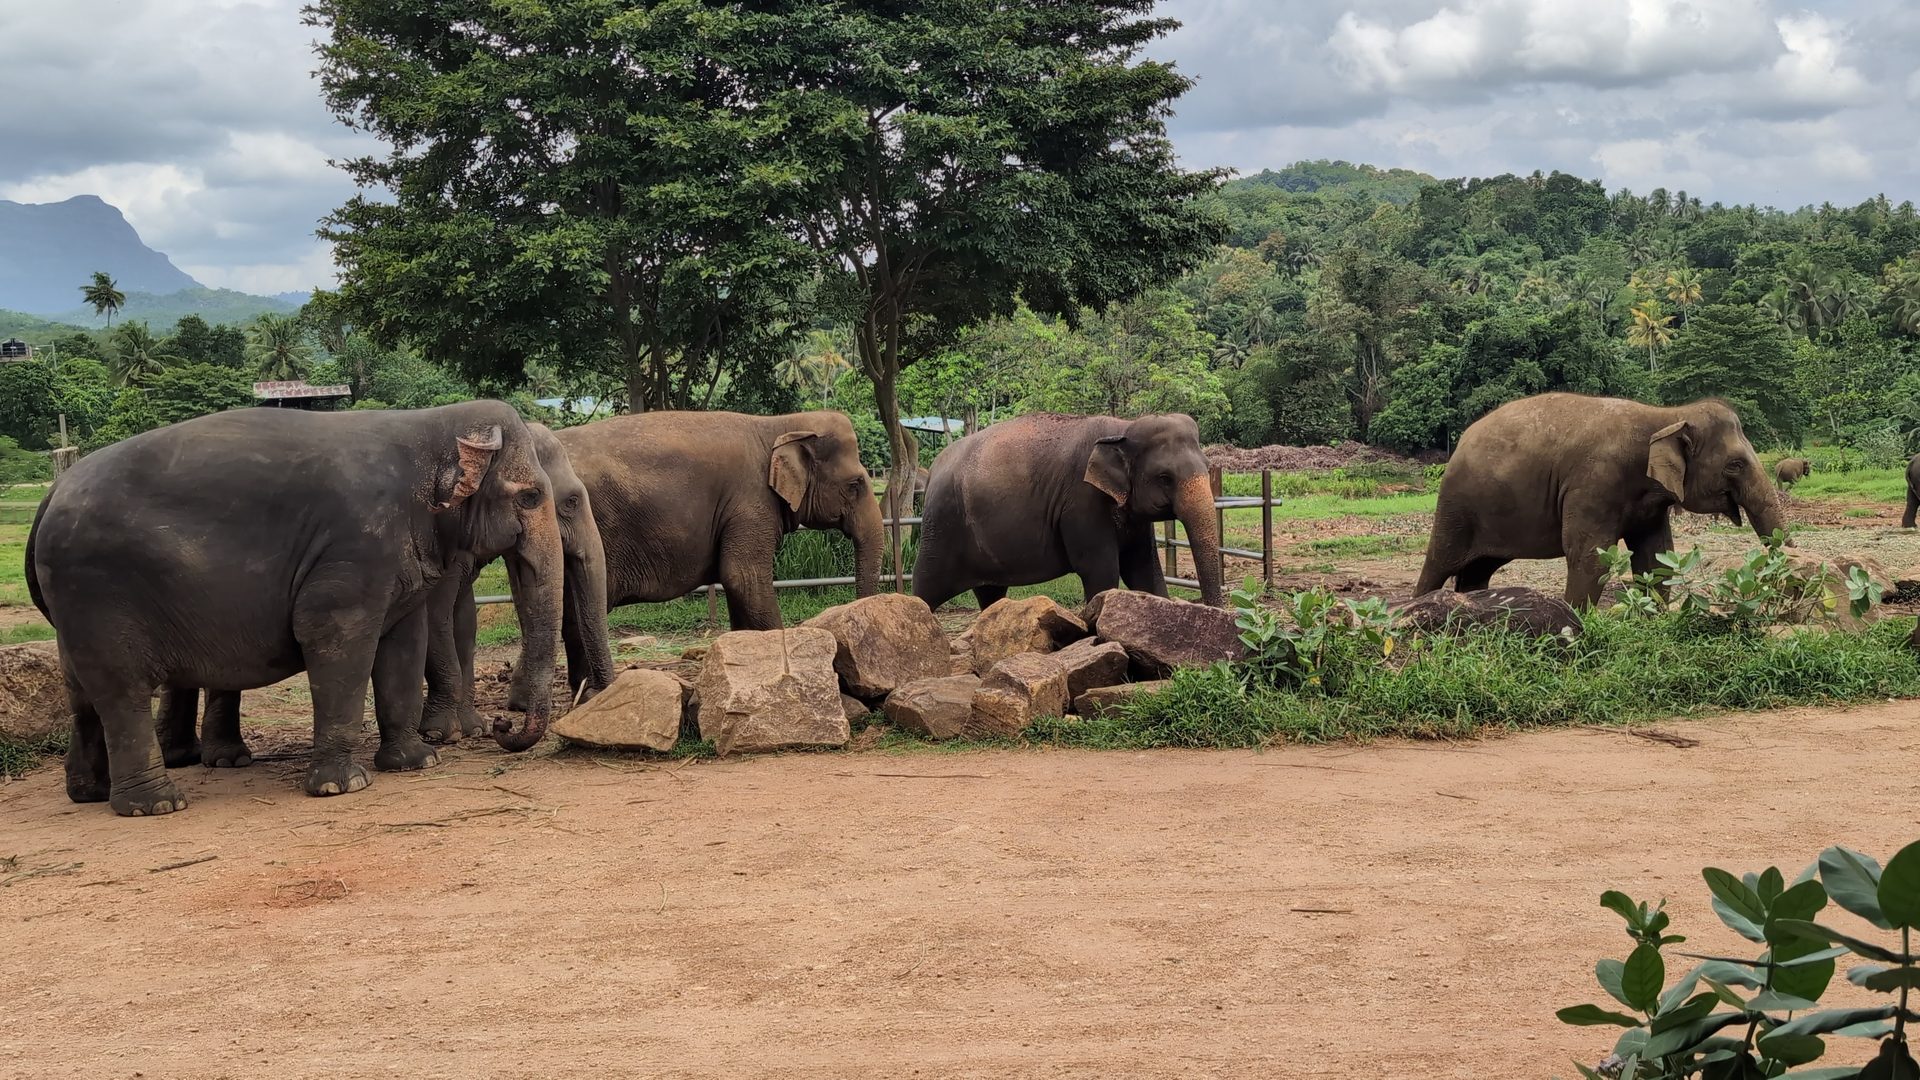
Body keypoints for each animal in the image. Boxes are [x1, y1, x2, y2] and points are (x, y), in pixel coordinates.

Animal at [25, 401, 564, 816]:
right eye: (531, 495)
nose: (503, 725)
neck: (428, 424)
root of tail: (50, 495)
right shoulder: (355, 547)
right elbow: (335, 637)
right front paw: (342, 785)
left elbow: (403, 645)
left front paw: (415, 762)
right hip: (97, 590)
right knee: (122, 690)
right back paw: (156, 805)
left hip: (74, 606)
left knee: (81, 691)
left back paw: (89, 793)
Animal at [911, 412, 1224, 611]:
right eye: (1164, 478)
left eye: (1209, 467)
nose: (1215, 611)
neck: (1123, 426)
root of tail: (933, 468)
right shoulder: (1081, 502)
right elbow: (1101, 569)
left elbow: (1143, 569)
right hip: (941, 527)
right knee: (925, 587)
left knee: (990, 592)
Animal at [1415, 393, 1787, 607]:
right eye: (1735, 465)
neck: (1666, 415)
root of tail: (1460, 442)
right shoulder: (1595, 482)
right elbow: (1590, 556)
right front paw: (1577, 624)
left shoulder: (1651, 502)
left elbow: (1655, 557)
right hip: (1456, 505)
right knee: (1440, 561)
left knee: (1478, 569)